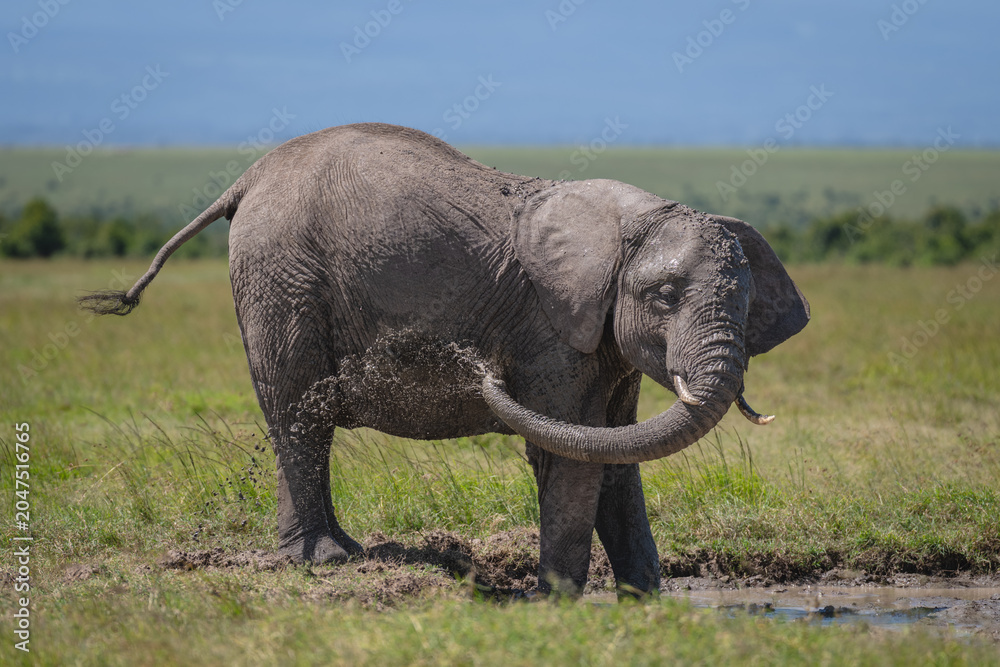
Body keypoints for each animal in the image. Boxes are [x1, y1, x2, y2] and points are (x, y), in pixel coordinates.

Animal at [81, 123, 809, 597]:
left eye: (746, 304)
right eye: (663, 296)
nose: (477, 365)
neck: (631, 220)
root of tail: (247, 176)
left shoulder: (602, 340)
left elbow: (615, 449)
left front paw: (647, 600)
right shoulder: (553, 328)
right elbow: (572, 448)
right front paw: (561, 604)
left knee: (298, 419)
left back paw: (333, 556)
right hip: (279, 273)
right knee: (298, 414)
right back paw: (326, 562)